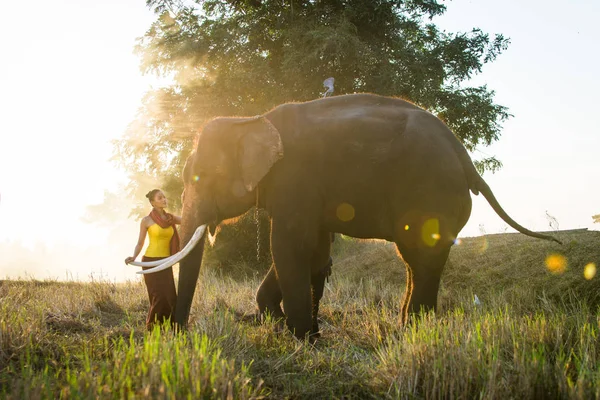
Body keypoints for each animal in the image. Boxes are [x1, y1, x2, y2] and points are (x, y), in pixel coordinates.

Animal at [138, 93, 560, 338]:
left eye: (198, 177)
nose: (178, 331)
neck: (252, 118)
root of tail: (466, 159)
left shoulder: (295, 178)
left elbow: (290, 245)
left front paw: (300, 338)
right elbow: (312, 249)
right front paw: (277, 320)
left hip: (432, 194)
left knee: (422, 257)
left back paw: (413, 329)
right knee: (414, 259)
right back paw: (406, 327)